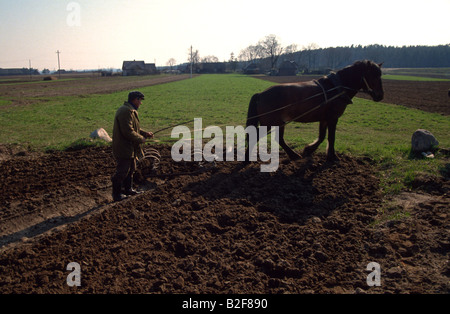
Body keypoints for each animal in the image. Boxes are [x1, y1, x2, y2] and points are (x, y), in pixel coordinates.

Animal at [246, 59, 384, 162]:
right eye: (374, 75)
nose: (380, 95)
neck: (335, 88)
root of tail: (261, 94)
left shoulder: (324, 119)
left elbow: (322, 136)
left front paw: (309, 149)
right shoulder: (333, 118)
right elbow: (331, 137)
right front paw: (332, 156)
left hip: (280, 123)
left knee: (279, 139)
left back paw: (293, 155)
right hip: (270, 123)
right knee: (256, 136)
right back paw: (248, 158)